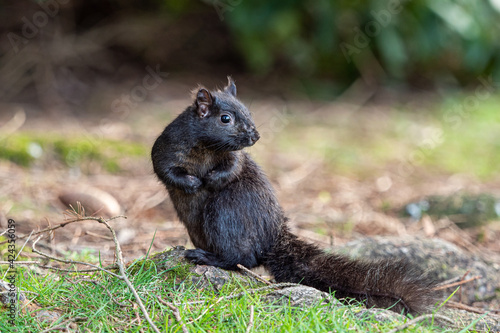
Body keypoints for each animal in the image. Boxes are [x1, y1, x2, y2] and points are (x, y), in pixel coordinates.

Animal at [152, 78, 438, 314]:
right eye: (225, 118)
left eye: (249, 112)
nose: (255, 136)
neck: (207, 147)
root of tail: (270, 238)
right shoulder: (169, 146)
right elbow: (164, 170)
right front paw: (192, 183)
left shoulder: (234, 158)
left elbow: (232, 169)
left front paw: (209, 180)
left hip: (224, 213)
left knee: (241, 259)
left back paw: (205, 257)